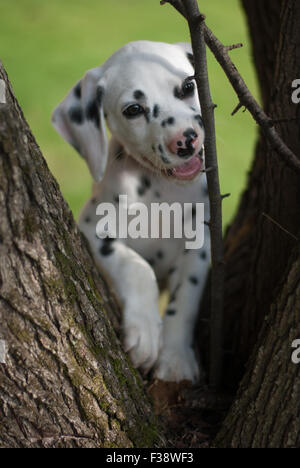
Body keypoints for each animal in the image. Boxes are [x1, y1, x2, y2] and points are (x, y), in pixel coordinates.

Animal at [51, 41, 210, 384]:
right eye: (134, 110)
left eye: (187, 87)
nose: (185, 140)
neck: (160, 189)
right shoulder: (94, 231)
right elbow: (137, 267)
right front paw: (146, 334)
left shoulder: (199, 248)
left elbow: (186, 300)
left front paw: (175, 358)